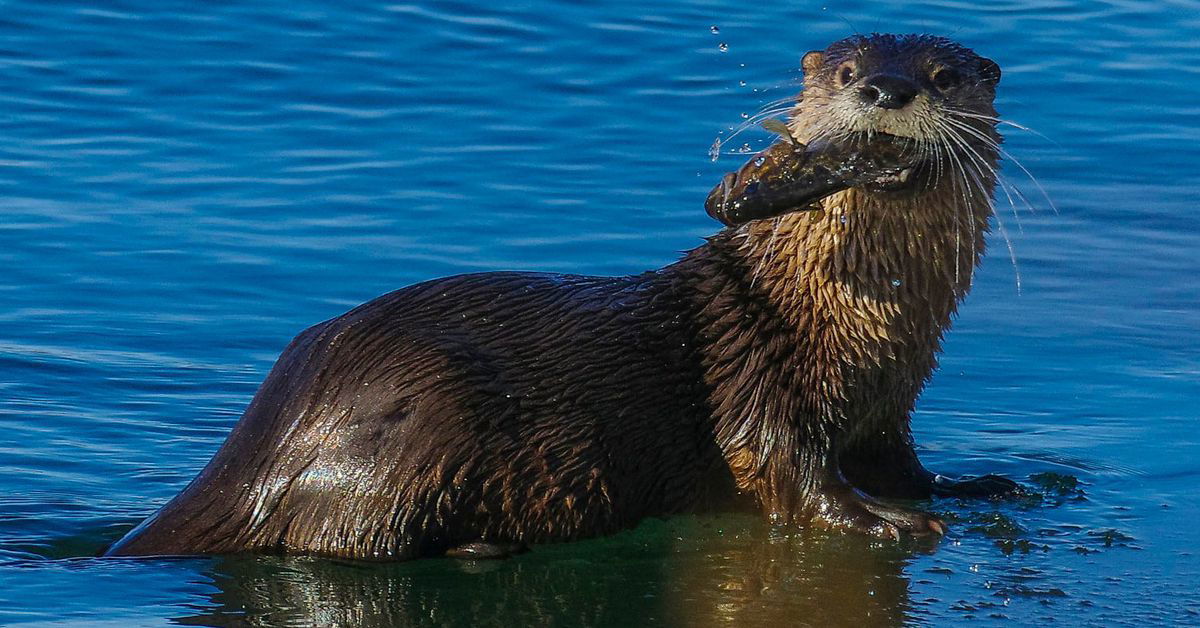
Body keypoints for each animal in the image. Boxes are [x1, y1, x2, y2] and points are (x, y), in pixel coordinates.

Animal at [106, 33, 1016, 561]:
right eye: (850, 71)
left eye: (943, 75)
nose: (888, 92)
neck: (839, 319)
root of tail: (258, 444)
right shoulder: (761, 376)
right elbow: (779, 466)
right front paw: (885, 523)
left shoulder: (890, 406)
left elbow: (904, 464)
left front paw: (975, 487)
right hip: (414, 428)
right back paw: (479, 547)